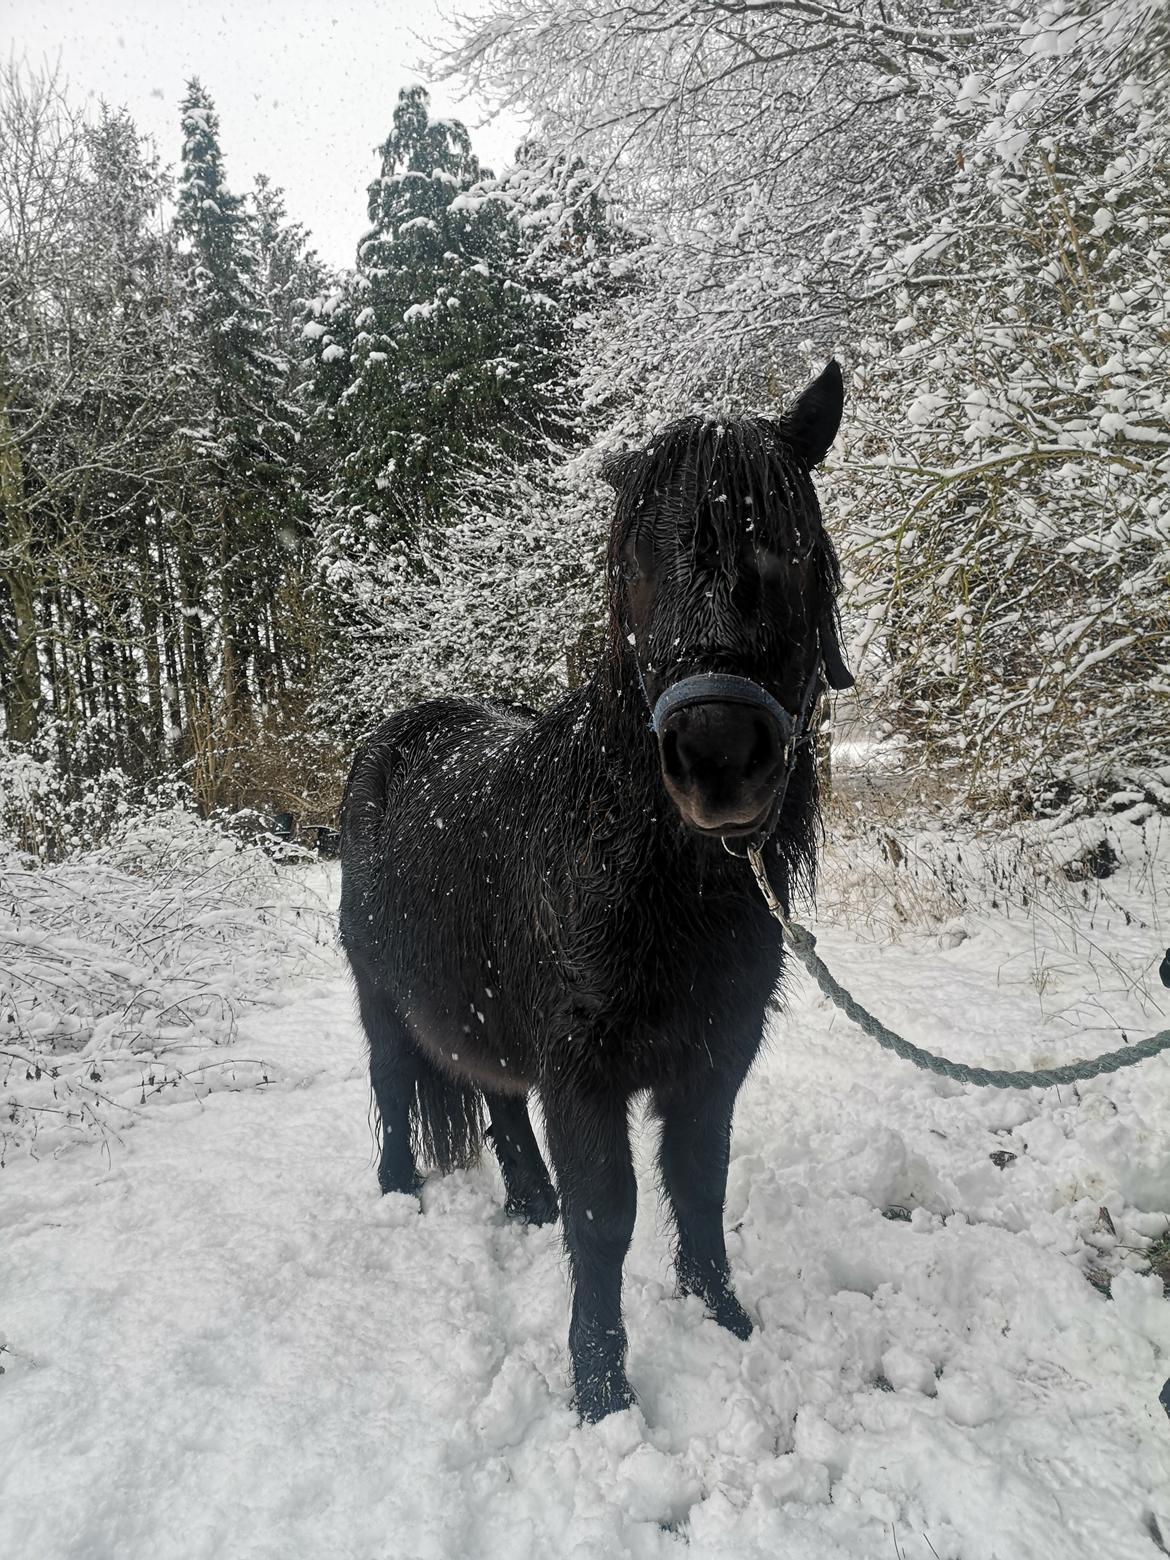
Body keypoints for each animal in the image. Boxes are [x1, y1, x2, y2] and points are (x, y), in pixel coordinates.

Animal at [338, 358, 854, 1422]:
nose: (717, 757)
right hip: (378, 995)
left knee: (496, 1097)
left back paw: (524, 1200)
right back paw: (400, 1191)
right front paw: (603, 1392)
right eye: (634, 572)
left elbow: (699, 1185)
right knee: (394, 1081)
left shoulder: (716, 1057)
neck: (646, 874)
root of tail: (401, 730)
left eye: (791, 549)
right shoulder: (583, 1072)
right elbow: (606, 1215)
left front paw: (724, 1321)